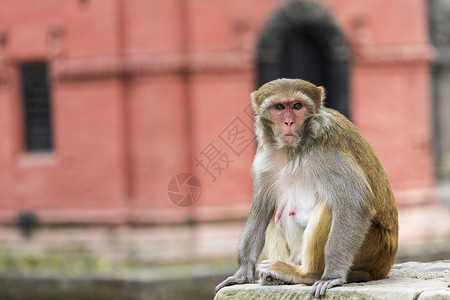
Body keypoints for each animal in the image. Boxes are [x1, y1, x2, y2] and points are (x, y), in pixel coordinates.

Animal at [216, 78, 400, 296]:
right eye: (279, 107)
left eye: (297, 106)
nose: (288, 122)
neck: (293, 149)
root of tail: (385, 266)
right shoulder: (264, 160)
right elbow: (262, 209)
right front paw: (243, 271)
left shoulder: (325, 153)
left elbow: (354, 204)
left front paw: (332, 275)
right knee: (273, 214)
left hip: (373, 249)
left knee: (330, 205)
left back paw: (305, 274)